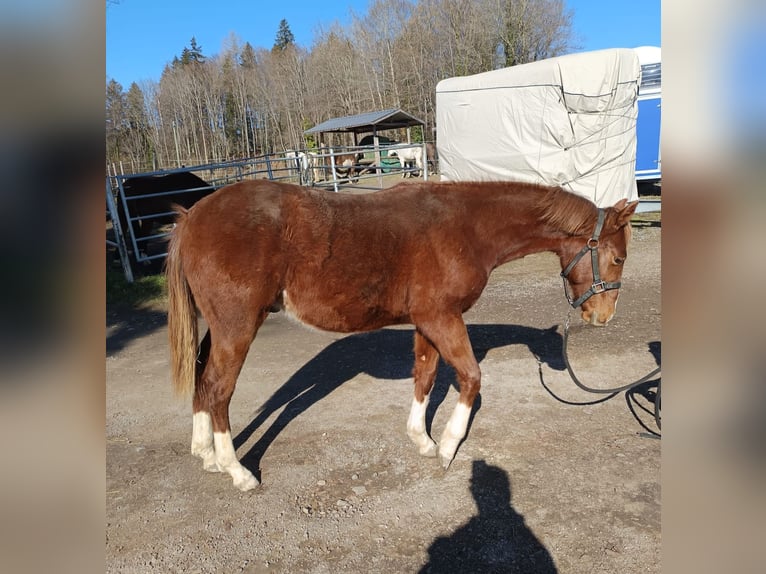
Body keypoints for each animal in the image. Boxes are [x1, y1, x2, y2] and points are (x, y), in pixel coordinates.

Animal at [166, 179, 637, 491]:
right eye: (617, 258)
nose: (603, 316)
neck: (466, 227)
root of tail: (193, 216)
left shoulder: (427, 321)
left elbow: (425, 377)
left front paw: (422, 441)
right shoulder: (442, 317)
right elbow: (470, 378)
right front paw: (447, 448)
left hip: (218, 328)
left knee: (203, 382)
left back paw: (206, 455)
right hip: (238, 327)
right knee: (219, 389)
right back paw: (238, 472)